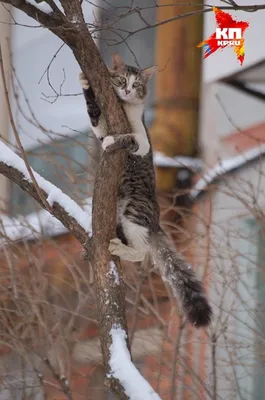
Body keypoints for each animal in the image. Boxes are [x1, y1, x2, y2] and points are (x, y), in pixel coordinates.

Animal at [77, 53, 211, 326]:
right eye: (121, 80)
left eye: (136, 84)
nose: (128, 90)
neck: (125, 108)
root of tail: (156, 220)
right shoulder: (100, 125)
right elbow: (95, 116)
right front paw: (85, 82)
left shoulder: (142, 141)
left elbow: (128, 138)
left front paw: (113, 141)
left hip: (134, 212)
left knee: (141, 253)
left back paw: (118, 248)